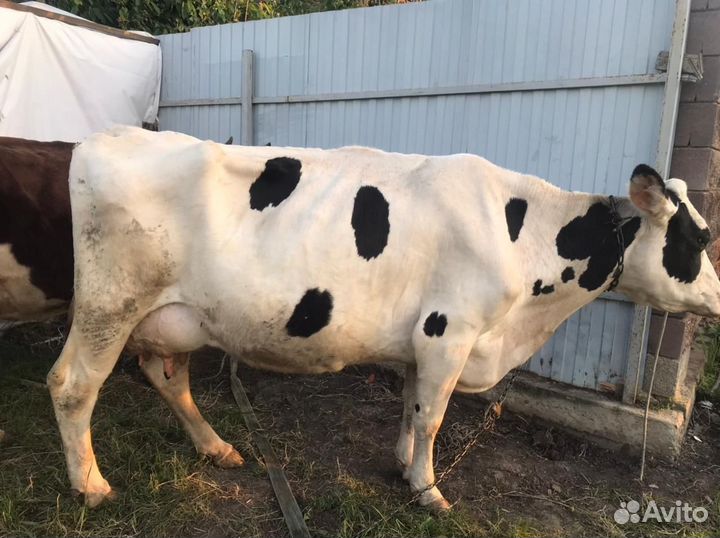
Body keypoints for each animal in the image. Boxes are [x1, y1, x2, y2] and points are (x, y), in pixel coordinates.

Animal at [47, 126, 720, 509]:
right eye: (698, 238)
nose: (717, 298)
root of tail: (106, 137)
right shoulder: (451, 330)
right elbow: (433, 417)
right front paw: (429, 491)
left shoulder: (423, 339)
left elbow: (411, 404)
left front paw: (402, 466)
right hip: (111, 304)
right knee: (72, 384)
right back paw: (91, 487)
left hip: (174, 316)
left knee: (168, 378)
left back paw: (217, 449)